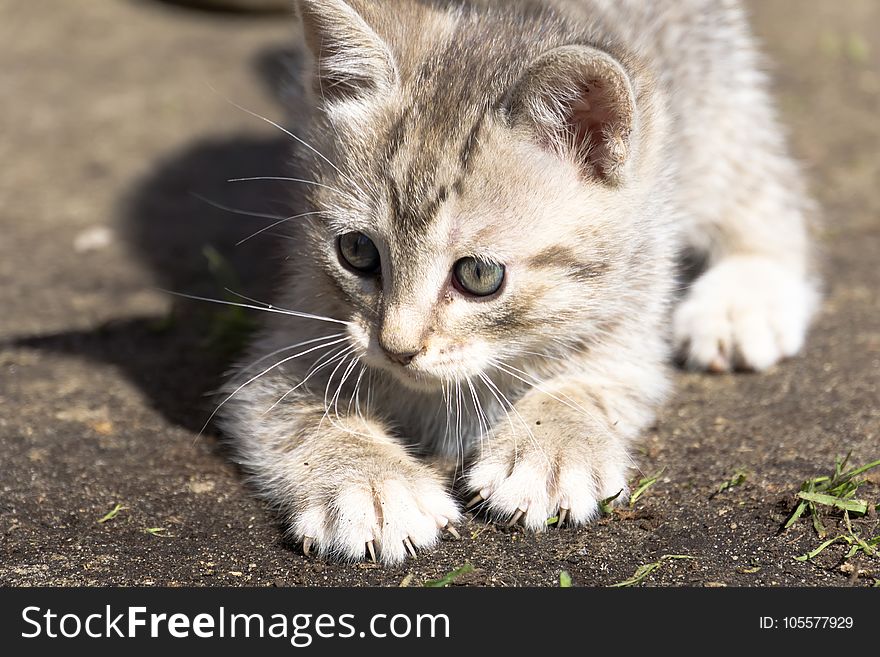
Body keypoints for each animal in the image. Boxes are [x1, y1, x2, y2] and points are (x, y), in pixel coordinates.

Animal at [218, 1, 820, 564]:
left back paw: (745, 299)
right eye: (357, 252)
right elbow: (294, 410)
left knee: (766, 187)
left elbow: (594, 379)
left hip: (716, 99)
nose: (396, 349)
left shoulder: (633, 296)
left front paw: (549, 446)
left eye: (479, 275)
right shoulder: (298, 326)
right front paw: (370, 483)